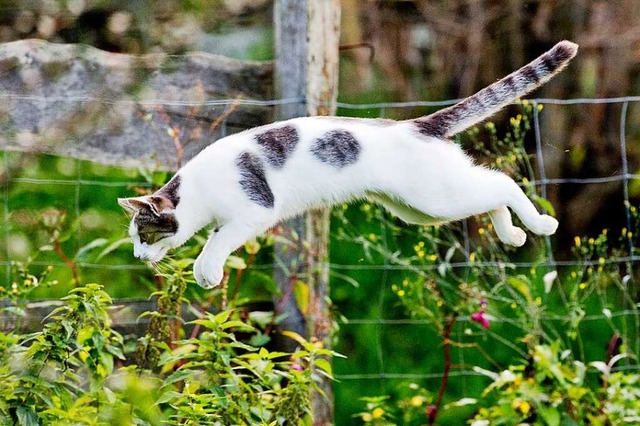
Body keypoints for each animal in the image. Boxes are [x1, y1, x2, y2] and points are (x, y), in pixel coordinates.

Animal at [117, 40, 576, 290]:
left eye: (144, 233)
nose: (138, 256)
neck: (198, 192)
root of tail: (417, 124)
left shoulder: (254, 211)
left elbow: (215, 243)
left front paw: (207, 271)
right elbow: (213, 239)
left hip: (435, 198)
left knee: (504, 182)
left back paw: (541, 225)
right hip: (421, 208)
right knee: (490, 190)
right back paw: (513, 235)